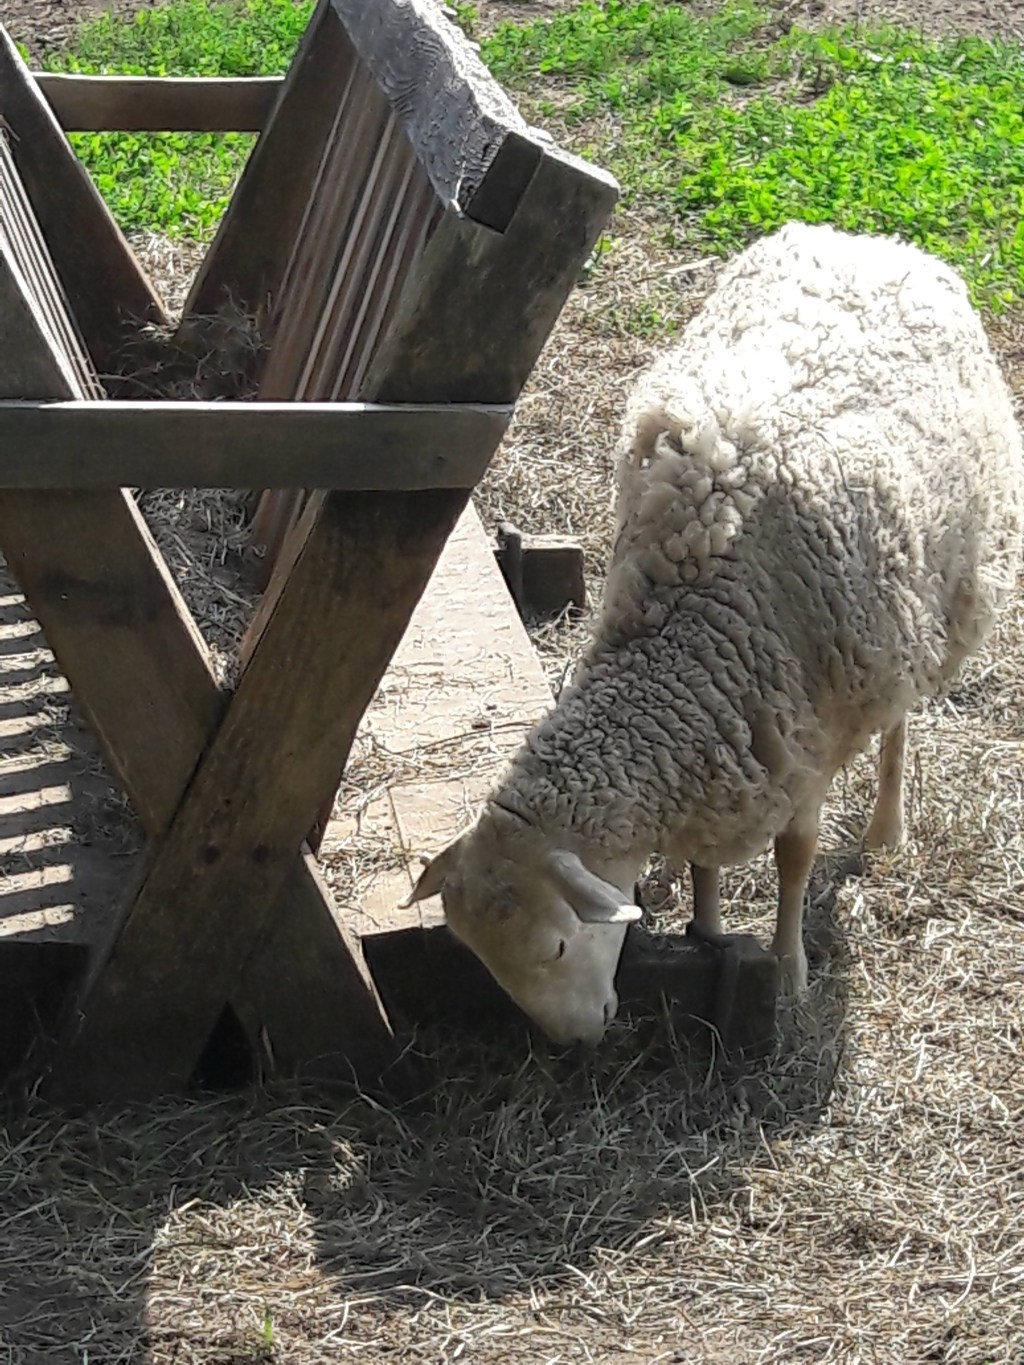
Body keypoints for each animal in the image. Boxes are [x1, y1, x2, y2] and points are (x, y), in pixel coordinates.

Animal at [409, 221, 1024, 1046]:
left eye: (560, 945)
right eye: (485, 960)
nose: (581, 1040)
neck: (688, 631)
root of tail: (875, 241)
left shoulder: (804, 731)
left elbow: (795, 856)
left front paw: (789, 969)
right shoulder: (729, 738)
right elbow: (705, 859)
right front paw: (705, 924)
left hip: (915, 611)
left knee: (898, 721)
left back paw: (887, 827)